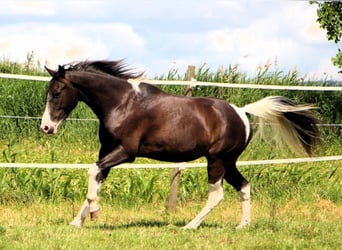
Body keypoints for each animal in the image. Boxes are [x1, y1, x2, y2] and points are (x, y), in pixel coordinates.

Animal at [40, 60, 320, 229]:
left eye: (56, 93)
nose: (46, 128)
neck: (122, 104)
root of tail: (242, 111)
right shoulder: (107, 151)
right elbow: (95, 178)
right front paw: (78, 221)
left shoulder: (125, 153)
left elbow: (91, 172)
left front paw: (95, 213)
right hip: (228, 162)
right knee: (244, 186)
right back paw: (243, 225)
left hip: (217, 161)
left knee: (217, 195)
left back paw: (190, 226)